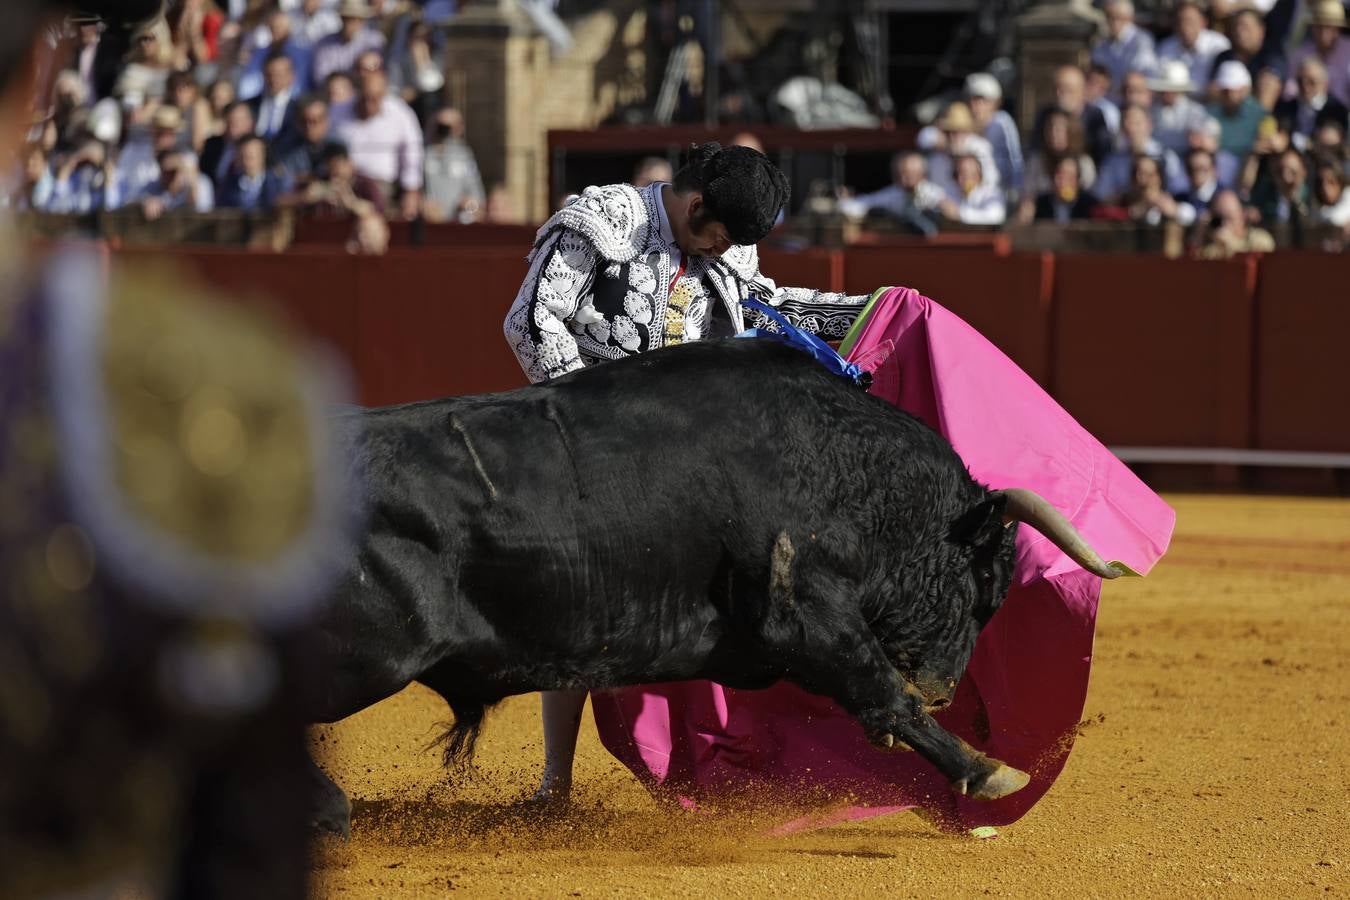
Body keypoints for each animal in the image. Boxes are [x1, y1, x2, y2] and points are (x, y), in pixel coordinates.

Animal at [306, 340, 1117, 836]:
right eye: (986, 587)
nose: (946, 688)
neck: (848, 469)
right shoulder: (808, 610)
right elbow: (881, 693)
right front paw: (990, 772)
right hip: (365, 656)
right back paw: (328, 812)